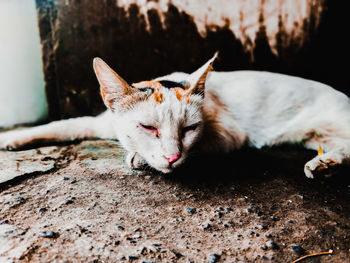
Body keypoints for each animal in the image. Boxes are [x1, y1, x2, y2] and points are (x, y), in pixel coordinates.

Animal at [0, 52, 350, 178]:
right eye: (147, 127)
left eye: (189, 129)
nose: (171, 157)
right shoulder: (99, 121)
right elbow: (65, 125)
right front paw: (15, 138)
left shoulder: (230, 135)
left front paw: (141, 159)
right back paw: (326, 164)